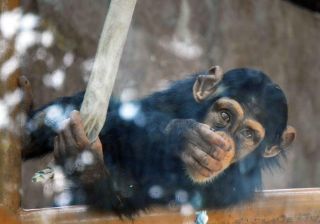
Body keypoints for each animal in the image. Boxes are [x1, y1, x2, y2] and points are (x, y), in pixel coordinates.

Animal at [20, 66, 296, 217]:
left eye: (248, 134)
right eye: (225, 116)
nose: (224, 142)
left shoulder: (230, 189)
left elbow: (131, 195)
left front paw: (87, 167)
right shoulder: (179, 94)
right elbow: (130, 113)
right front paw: (182, 136)